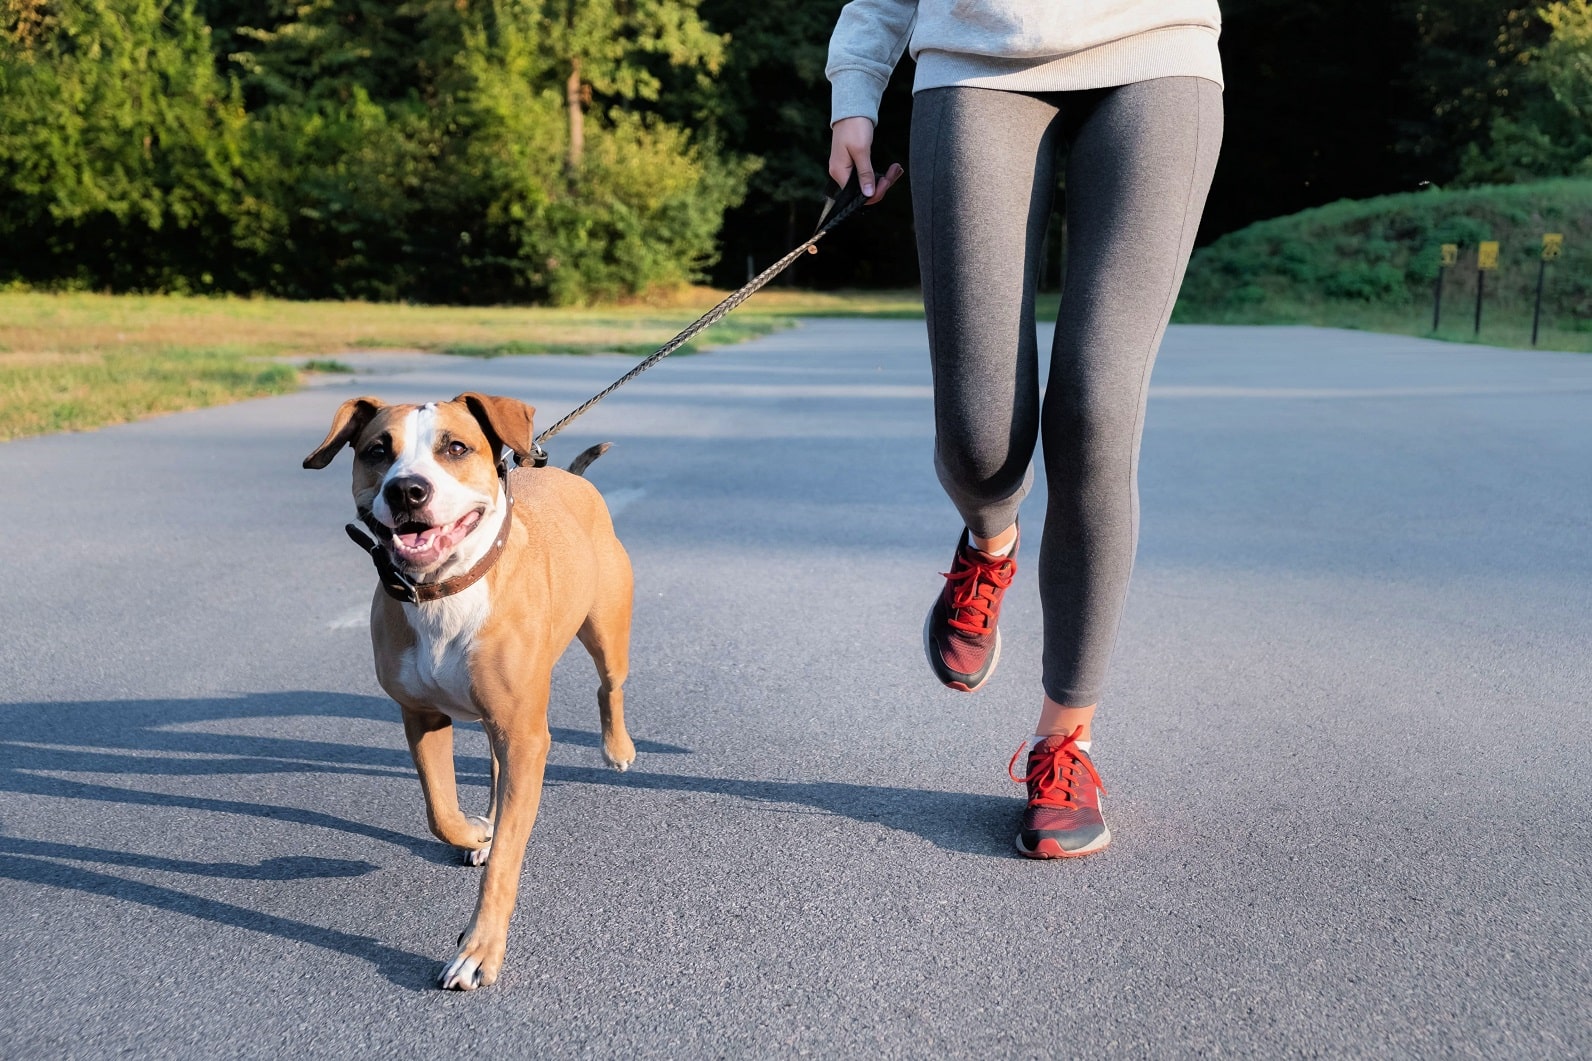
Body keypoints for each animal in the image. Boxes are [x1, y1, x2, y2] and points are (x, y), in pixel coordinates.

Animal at [304, 391, 633, 987]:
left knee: (610, 686)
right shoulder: (422, 717)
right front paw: (477, 833)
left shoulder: (526, 735)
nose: (407, 490)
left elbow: (506, 859)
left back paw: (618, 749)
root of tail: (567, 478)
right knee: (497, 770)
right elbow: (440, 811)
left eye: (455, 447)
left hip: (606, 632)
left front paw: (480, 949)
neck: (444, 590)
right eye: (376, 450)